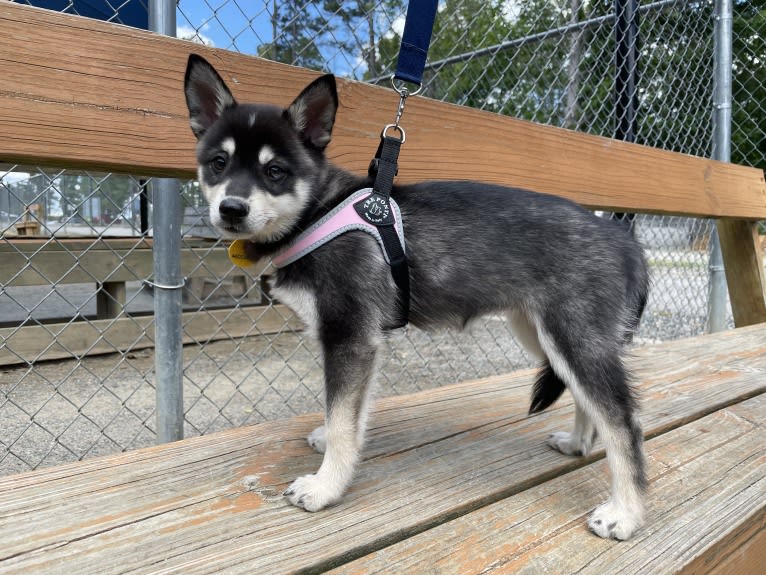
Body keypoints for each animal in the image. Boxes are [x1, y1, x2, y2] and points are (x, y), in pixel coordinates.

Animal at [183, 53, 652, 540]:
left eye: (275, 171)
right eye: (218, 163)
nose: (231, 209)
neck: (316, 211)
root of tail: (625, 241)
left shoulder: (350, 338)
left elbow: (343, 417)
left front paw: (326, 486)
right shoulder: (363, 342)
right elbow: (349, 415)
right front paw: (332, 448)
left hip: (573, 338)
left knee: (623, 422)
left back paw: (626, 512)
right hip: (545, 336)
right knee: (588, 401)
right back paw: (578, 444)